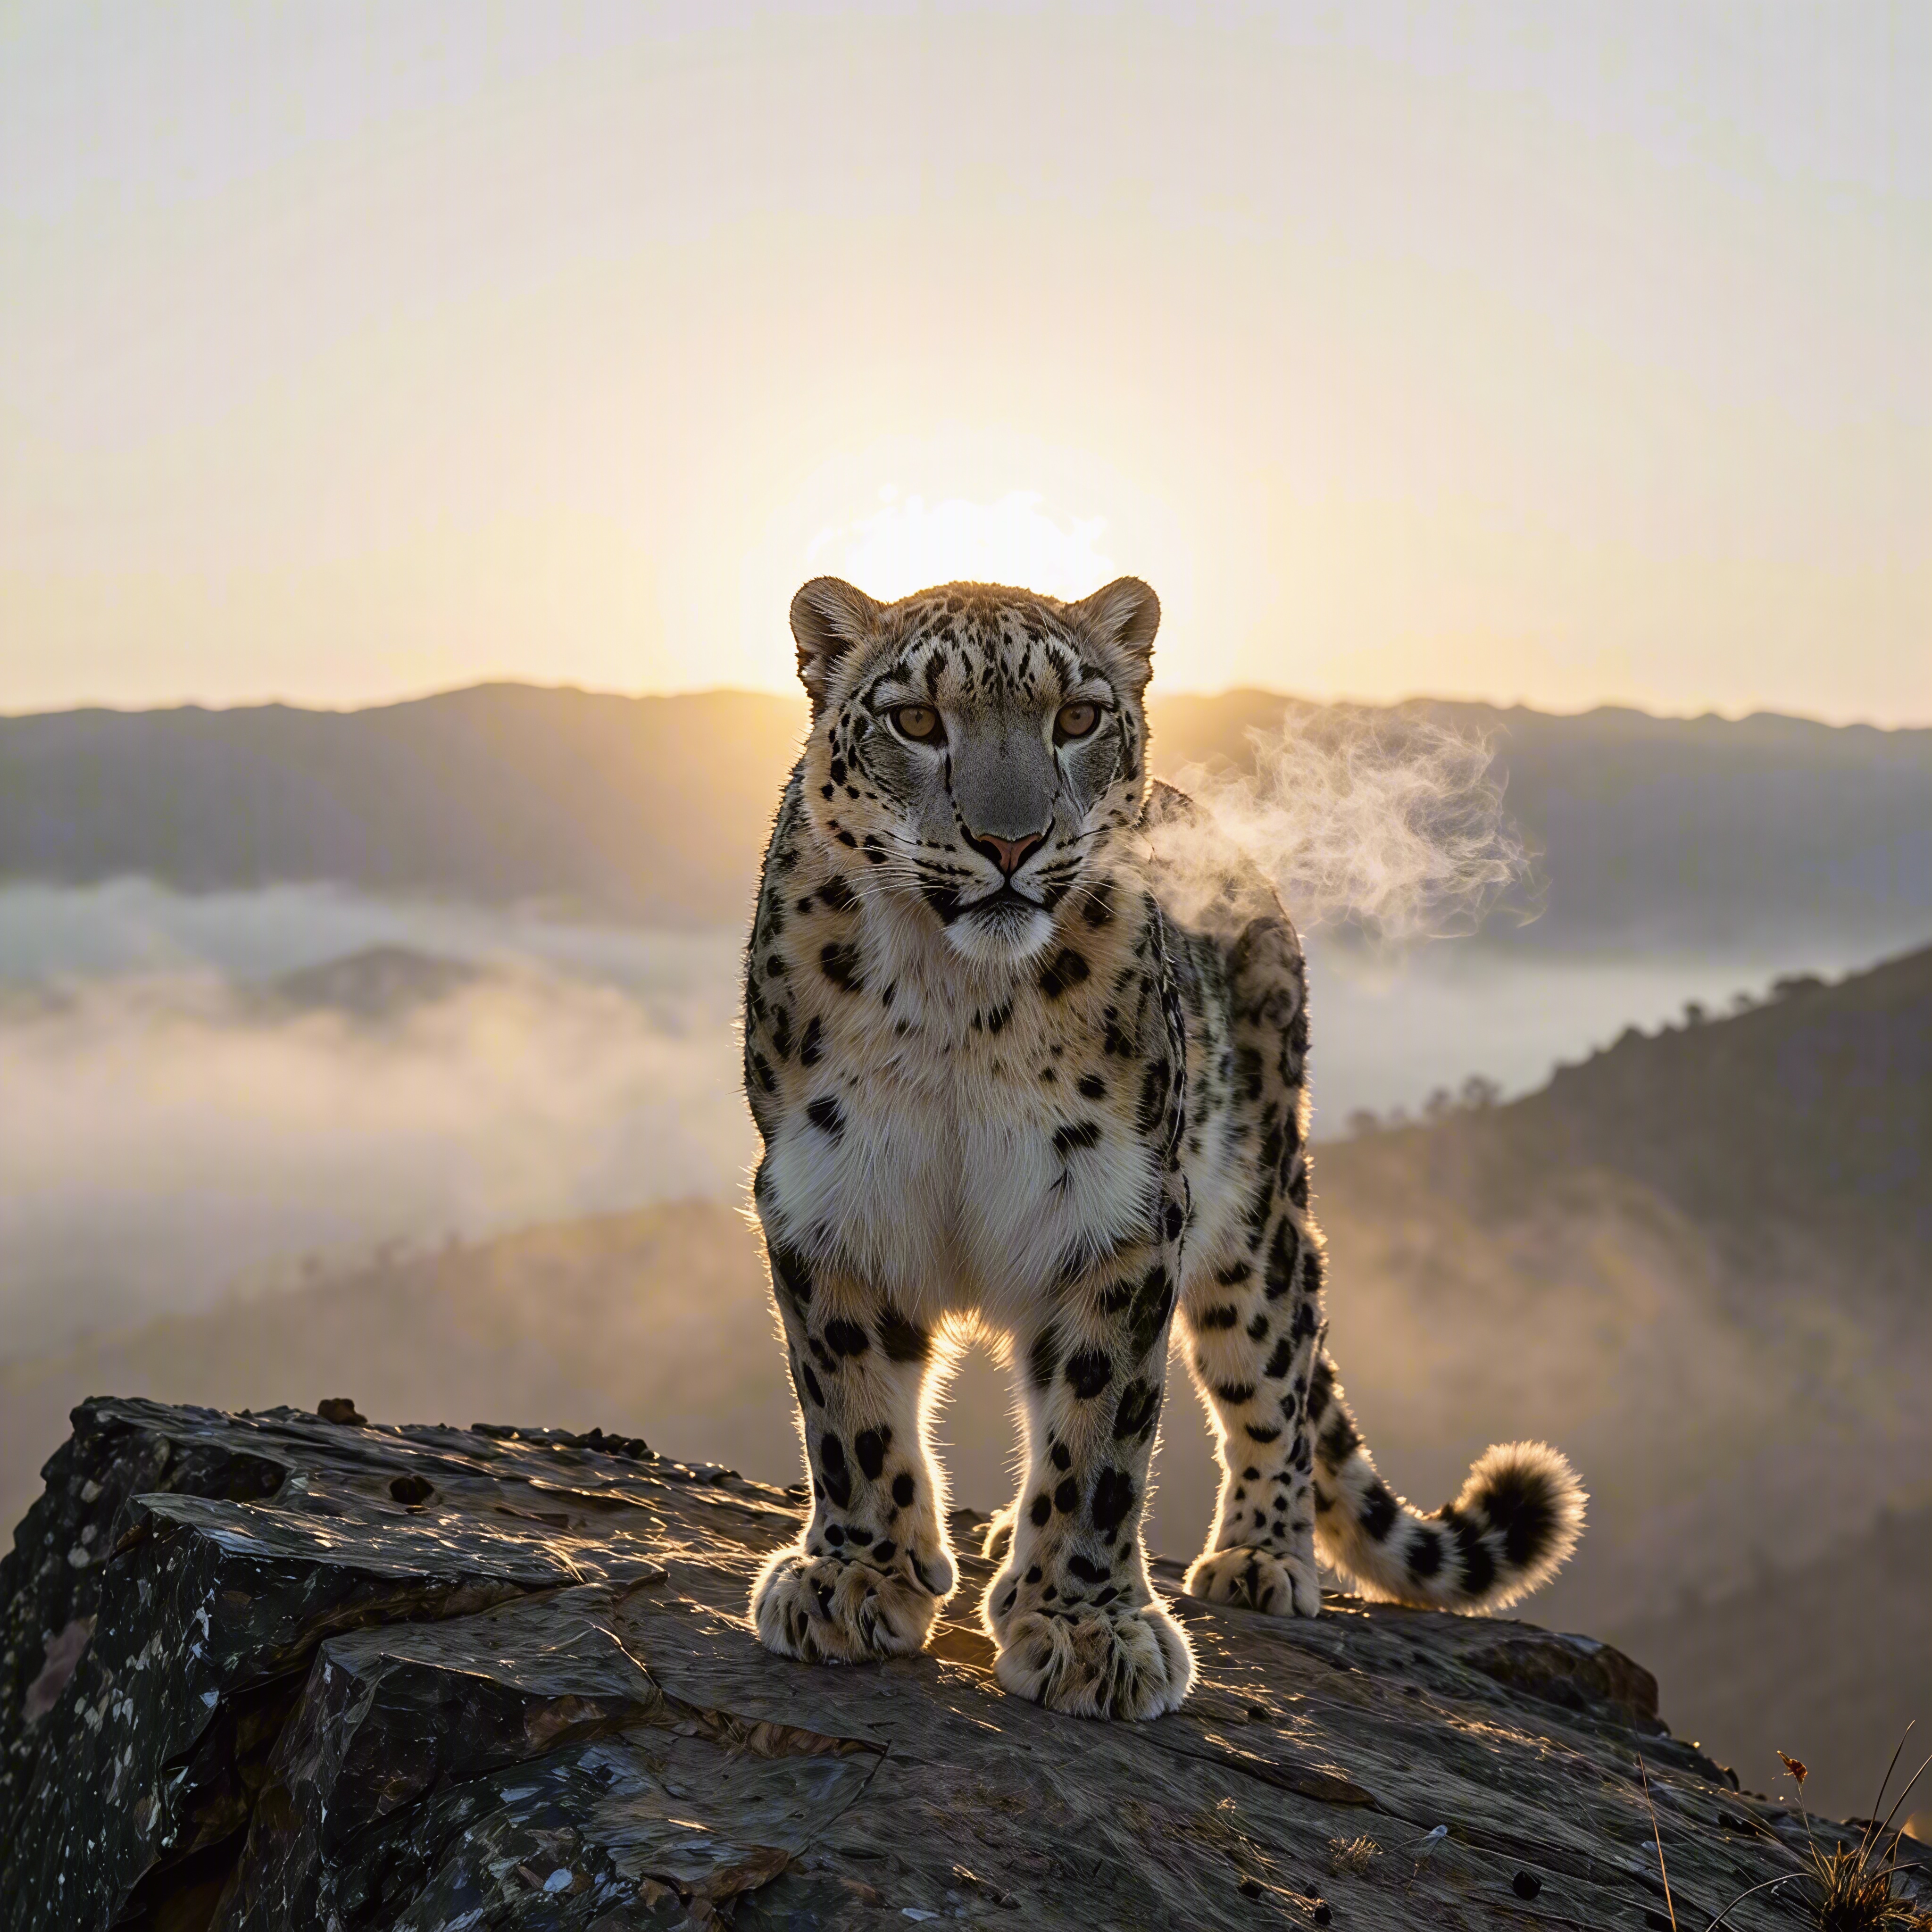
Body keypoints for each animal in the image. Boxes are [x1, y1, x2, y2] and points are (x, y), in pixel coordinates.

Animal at [741, 573, 1585, 1720]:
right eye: (914, 719)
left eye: (1076, 717)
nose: (1009, 842)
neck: (958, 1005)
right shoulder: (829, 1190)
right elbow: (850, 1406)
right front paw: (858, 1576)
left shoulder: (1119, 1212)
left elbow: (1100, 1431)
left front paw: (1086, 1626)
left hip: (1254, 1209)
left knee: (1276, 1364)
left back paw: (1260, 1557)